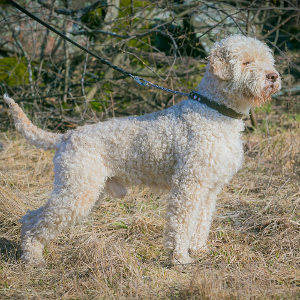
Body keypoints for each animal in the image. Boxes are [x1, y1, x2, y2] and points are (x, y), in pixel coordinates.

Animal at [2, 34, 282, 266]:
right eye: (246, 62)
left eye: (267, 59)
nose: (273, 76)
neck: (215, 112)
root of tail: (65, 136)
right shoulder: (189, 186)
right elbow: (181, 225)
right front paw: (180, 258)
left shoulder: (209, 189)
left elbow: (201, 224)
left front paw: (199, 250)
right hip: (77, 192)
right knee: (37, 223)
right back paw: (33, 260)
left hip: (80, 190)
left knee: (29, 217)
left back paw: (28, 254)